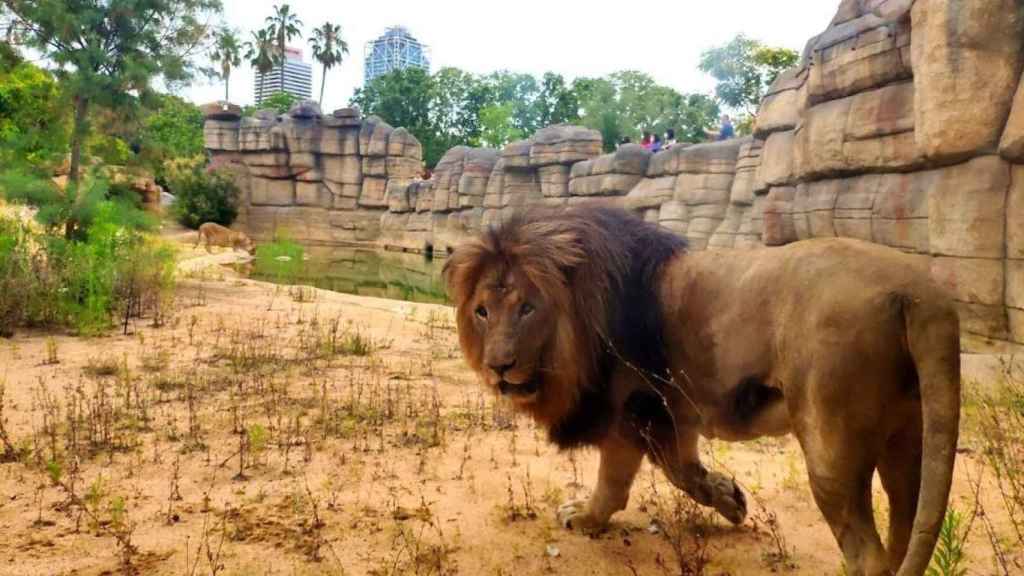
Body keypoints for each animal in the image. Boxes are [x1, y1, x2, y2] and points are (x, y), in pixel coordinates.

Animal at [446, 206, 958, 573]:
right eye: (482, 311)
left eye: (528, 308)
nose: (498, 367)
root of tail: (916, 293)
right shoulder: (673, 412)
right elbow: (684, 472)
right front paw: (730, 498)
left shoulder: (631, 409)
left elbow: (615, 483)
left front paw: (585, 519)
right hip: (906, 439)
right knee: (904, 523)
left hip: (832, 449)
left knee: (868, 555)